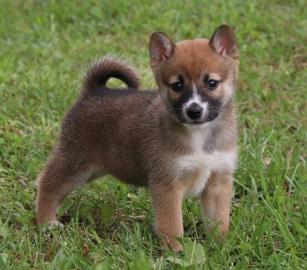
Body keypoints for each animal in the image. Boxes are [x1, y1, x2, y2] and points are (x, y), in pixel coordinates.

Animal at [35, 24, 238, 251]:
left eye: (212, 83)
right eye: (177, 85)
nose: (194, 110)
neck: (200, 136)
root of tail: (93, 91)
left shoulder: (218, 182)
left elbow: (219, 222)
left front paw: (220, 248)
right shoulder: (167, 185)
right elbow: (172, 226)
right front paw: (176, 252)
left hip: (92, 170)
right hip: (74, 165)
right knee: (47, 185)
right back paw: (46, 223)